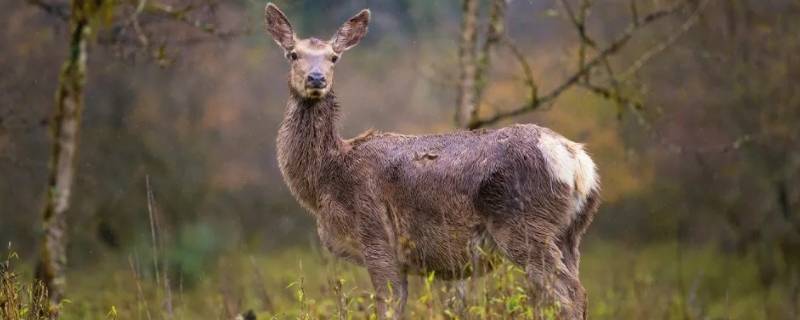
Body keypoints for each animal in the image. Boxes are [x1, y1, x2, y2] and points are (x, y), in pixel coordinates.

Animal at [264, 3, 600, 320]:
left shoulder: (376, 235)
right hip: (570, 234)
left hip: (524, 224)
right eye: (293, 54)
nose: (316, 78)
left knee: (571, 294)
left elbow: (387, 306)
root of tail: (579, 165)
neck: (326, 179)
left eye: (334, 57)